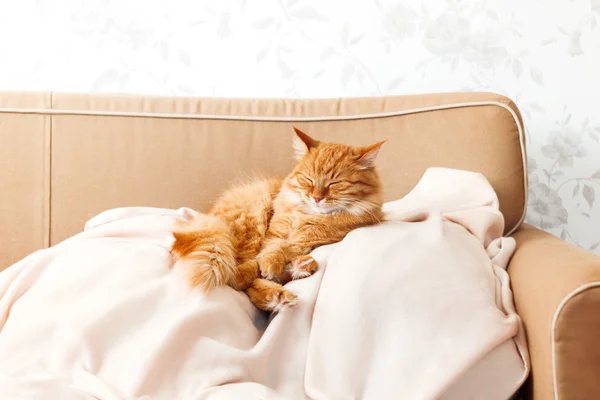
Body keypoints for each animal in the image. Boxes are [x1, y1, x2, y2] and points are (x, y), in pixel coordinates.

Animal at [170, 128, 384, 312]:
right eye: (309, 180)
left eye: (335, 183)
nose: (316, 197)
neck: (307, 217)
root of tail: (209, 217)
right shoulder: (274, 234)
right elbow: (269, 253)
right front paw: (265, 267)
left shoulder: (305, 244)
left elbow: (281, 255)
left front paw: (280, 268)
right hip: (253, 219)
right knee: (241, 275)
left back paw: (291, 280)